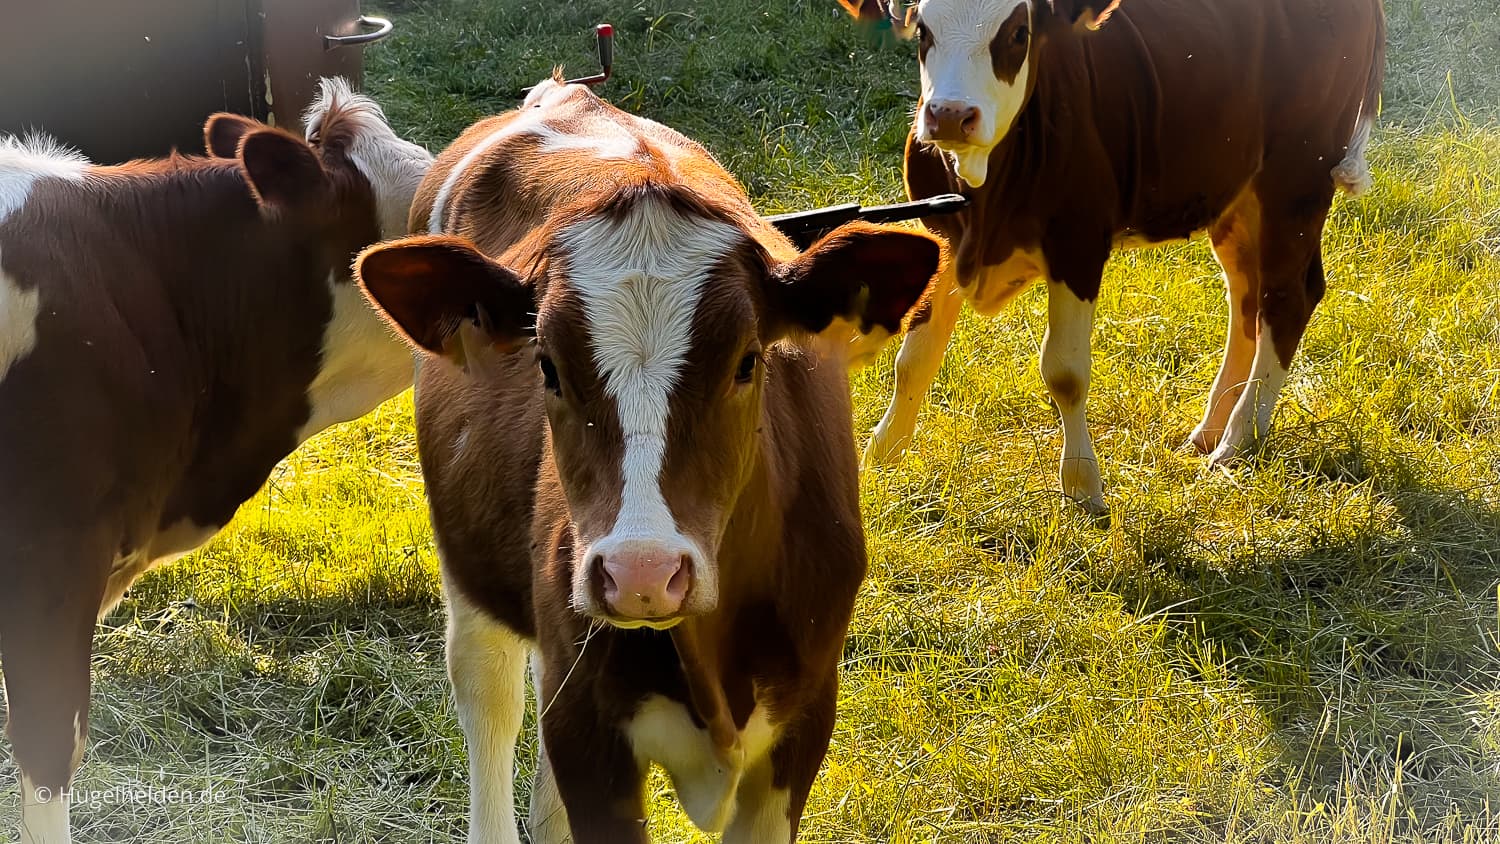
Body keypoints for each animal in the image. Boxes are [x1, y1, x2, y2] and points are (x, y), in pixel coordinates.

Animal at [351, 77, 936, 839]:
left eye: (749, 361)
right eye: (547, 366)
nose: (642, 573)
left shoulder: (806, 713)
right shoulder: (588, 731)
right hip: (474, 576)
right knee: (490, 696)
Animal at [840, 0, 1386, 512]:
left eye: (1017, 33)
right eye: (923, 31)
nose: (951, 114)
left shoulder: (1078, 244)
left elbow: (1064, 372)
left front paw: (1082, 485)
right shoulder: (945, 236)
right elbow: (914, 359)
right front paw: (881, 456)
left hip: (1296, 177)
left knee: (1286, 296)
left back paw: (1237, 441)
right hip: (1236, 193)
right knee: (1247, 299)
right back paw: (1210, 430)